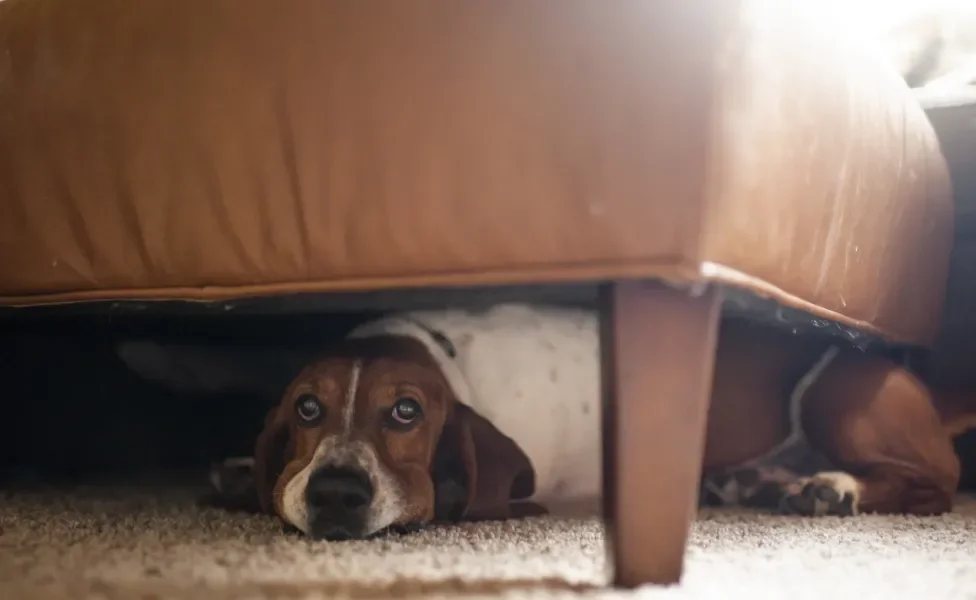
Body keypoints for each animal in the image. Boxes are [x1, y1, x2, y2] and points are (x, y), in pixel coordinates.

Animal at [116, 304, 976, 540]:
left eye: (407, 412)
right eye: (306, 408)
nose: (334, 494)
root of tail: (933, 395)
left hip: (838, 392)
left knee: (933, 484)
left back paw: (828, 487)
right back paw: (756, 479)